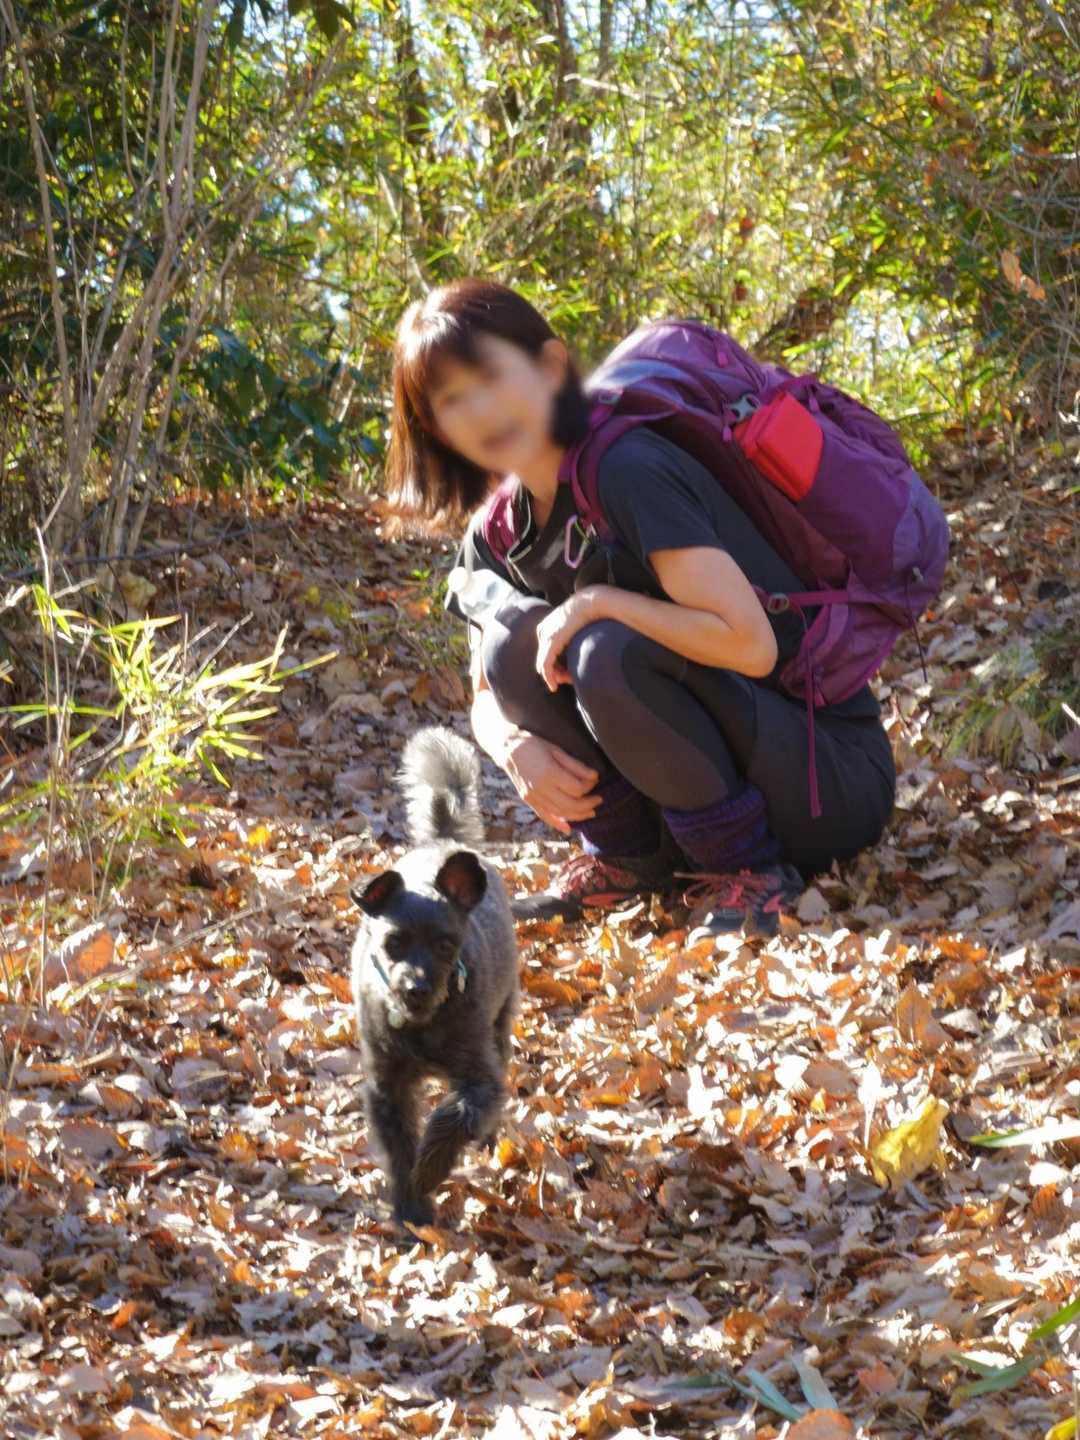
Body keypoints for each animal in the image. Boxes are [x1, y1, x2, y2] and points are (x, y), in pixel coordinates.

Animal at [350, 725, 519, 1230]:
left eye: (446, 944)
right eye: (393, 942)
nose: (417, 987)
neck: (420, 1029)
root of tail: (444, 841)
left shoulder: (479, 1077)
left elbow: (455, 1116)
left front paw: (430, 1170)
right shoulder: (386, 1085)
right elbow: (398, 1147)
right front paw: (411, 1207)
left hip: (502, 1020)